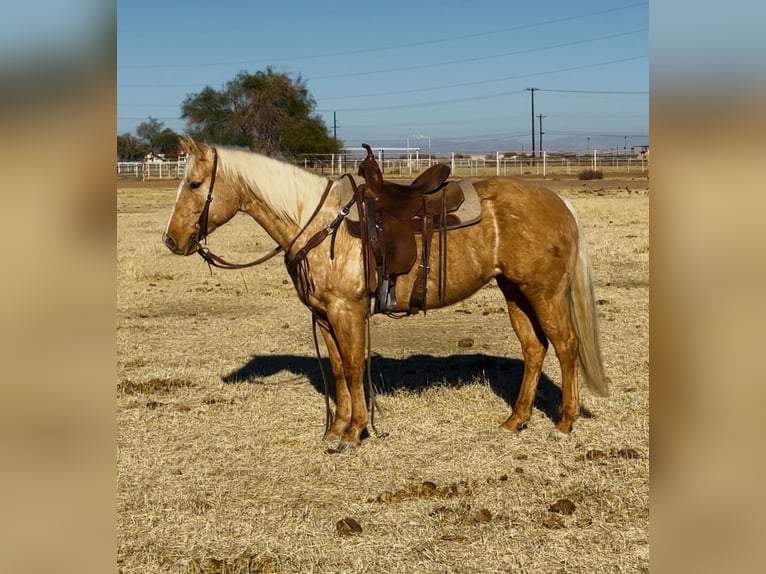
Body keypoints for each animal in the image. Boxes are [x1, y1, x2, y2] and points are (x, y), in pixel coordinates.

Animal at [164, 138, 612, 450]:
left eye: (195, 183)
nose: (171, 240)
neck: (319, 223)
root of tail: (559, 201)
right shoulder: (325, 316)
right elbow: (339, 371)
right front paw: (337, 429)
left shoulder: (346, 312)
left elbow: (353, 368)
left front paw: (354, 432)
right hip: (515, 292)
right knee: (535, 349)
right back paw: (515, 421)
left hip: (544, 292)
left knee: (566, 346)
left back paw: (563, 424)